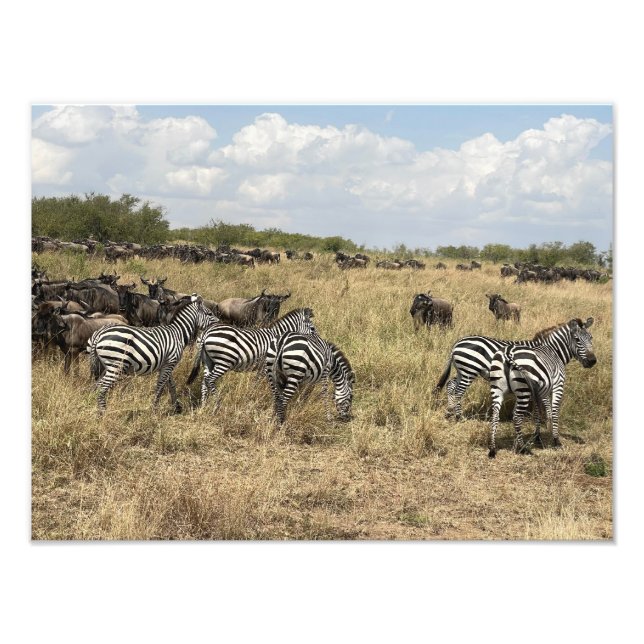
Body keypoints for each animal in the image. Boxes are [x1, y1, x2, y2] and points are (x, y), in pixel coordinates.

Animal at [87, 295, 217, 413]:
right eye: (210, 313)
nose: (219, 324)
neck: (178, 333)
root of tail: (99, 334)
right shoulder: (170, 362)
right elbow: (160, 386)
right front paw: (154, 408)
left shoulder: (167, 364)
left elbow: (171, 385)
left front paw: (177, 407)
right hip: (116, 365)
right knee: (102, 388)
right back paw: (103, 413)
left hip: (105, 366)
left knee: (96, 386)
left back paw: (96, 410)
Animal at [186, 308, 317, 406]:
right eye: (313, 329)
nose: (317, 342)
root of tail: (206, 332)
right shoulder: (266, 366)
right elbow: (261, 383)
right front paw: (255, 397)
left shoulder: (261, 367)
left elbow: (256, 382)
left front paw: (252, 395)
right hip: (224, 361)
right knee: (210, 380)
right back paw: (217, 404)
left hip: (208, 361)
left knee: (204, 382)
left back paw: (204, 406)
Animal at [487, 317, 596, 458]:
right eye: (577, 339)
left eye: (591, 337)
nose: (592, 361)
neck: (555, 351)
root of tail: (507, 352)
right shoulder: (556, 386)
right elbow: (553, 412)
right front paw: (555, 440)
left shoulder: (538, 391)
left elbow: (538, 413)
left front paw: (536, 438)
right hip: (523, 391)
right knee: (517, 417)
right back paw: (524, 449)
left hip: (498, 390)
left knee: (495, 416)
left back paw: (493, 449)